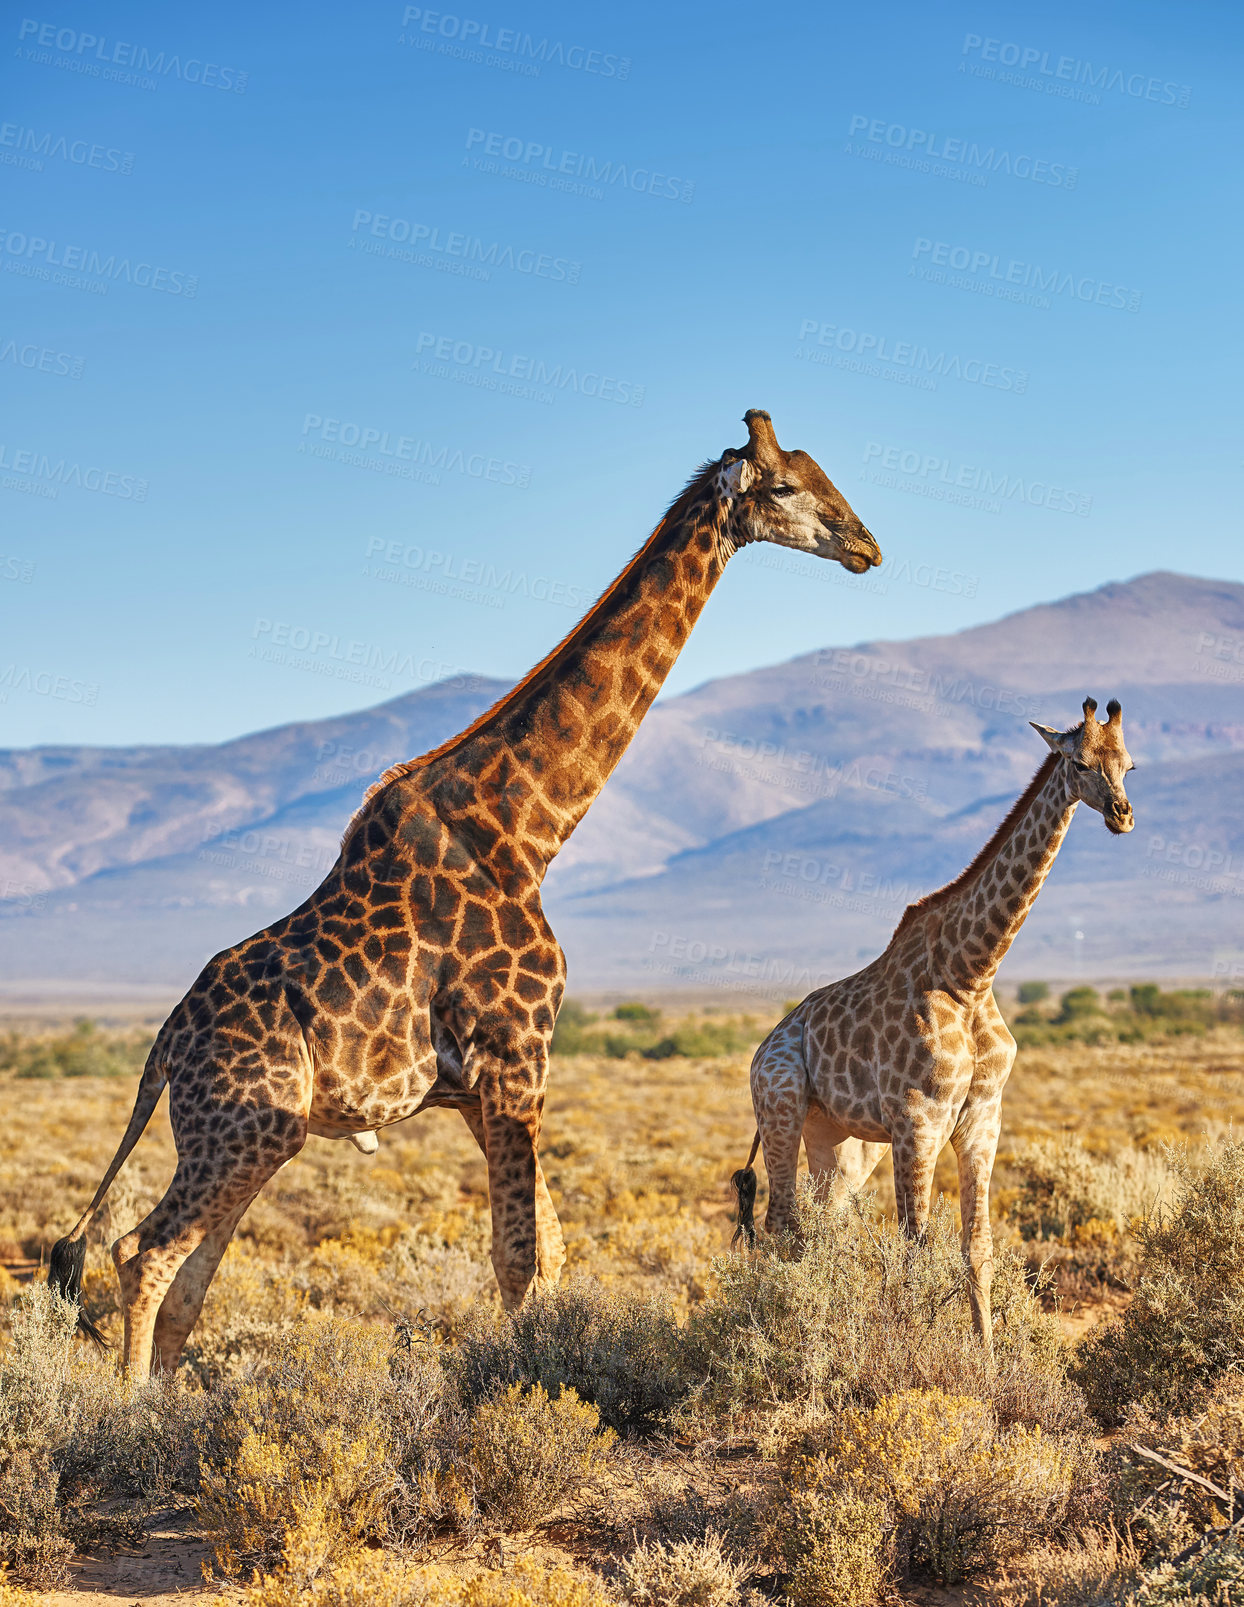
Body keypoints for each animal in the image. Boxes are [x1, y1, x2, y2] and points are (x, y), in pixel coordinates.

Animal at [51, 408, 887, 1375]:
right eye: (785, 486)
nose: (866, 546)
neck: (527, 831)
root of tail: (162, 1049)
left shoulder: (483, 1086)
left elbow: (548, 1249)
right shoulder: (516, 1055)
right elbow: (520, 1256)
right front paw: (526, 1390)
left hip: (256, 1133)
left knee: (186, 1273)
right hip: (240, 1124)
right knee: (141, 1251)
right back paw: (125, 1404)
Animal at [739, 700, 1137, 1343]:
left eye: (1129, 764)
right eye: (1078, 762)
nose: (1123, 816)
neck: (970, 973)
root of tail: (763, 1047)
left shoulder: (982, 1118)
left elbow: (978, 1248)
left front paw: (985, 1359)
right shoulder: (918, 1121)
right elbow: (913, 1251)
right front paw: (909, 1356)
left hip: (842, 1141)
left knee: (822, 1230)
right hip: (781, 1107)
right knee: (780, 1224)